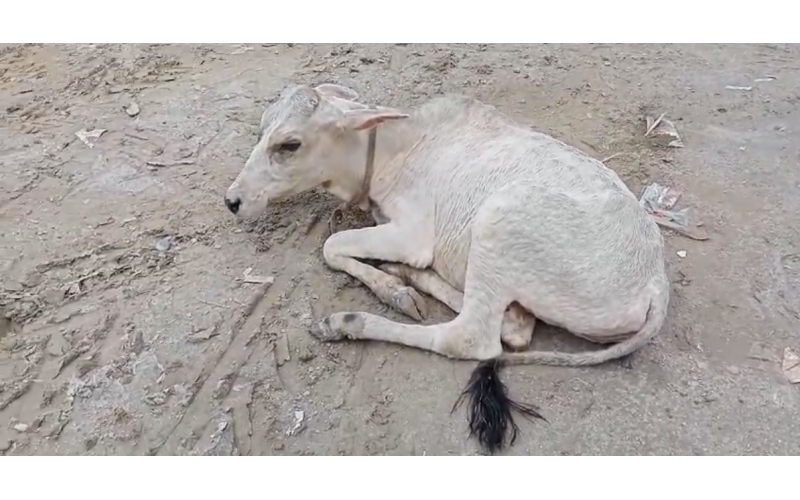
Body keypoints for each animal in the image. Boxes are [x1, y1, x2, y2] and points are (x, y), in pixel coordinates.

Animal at [224, 83, 670, 453]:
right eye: (262, 129)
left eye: (289, 144)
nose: (233, 200)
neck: (390, 149)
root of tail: (656, 285)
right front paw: (396, 283)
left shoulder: (412, 234)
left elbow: (332, 246)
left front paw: (391, 291)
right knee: (513, 326)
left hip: (498, 217)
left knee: (474, 338)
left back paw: (349, 321)